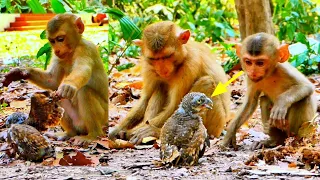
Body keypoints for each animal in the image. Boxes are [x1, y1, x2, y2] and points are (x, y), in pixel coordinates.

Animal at [1, 13, 109, 145]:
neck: (73, 51)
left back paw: (93, 135)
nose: (57, 50)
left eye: (60, 39)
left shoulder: (86, 50)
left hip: (102, 116)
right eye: (52, 41)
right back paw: (69, 133)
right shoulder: (58, 57)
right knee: (57, 95)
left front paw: (68, 85)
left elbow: (81, 71)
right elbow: (52, 81)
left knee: (84, 91)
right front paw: (20, 72)